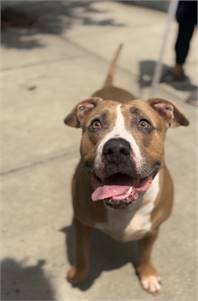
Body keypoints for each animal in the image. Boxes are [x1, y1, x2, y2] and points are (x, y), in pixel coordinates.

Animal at [64, 44, 189, 292]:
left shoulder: (153, 230)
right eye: (96, 124)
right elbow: (82, 253)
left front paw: (147, 274)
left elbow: (146, 254)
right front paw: (78, 273)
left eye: (144, 123)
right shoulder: (81, 223)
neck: (126, 207)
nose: (116, 149)